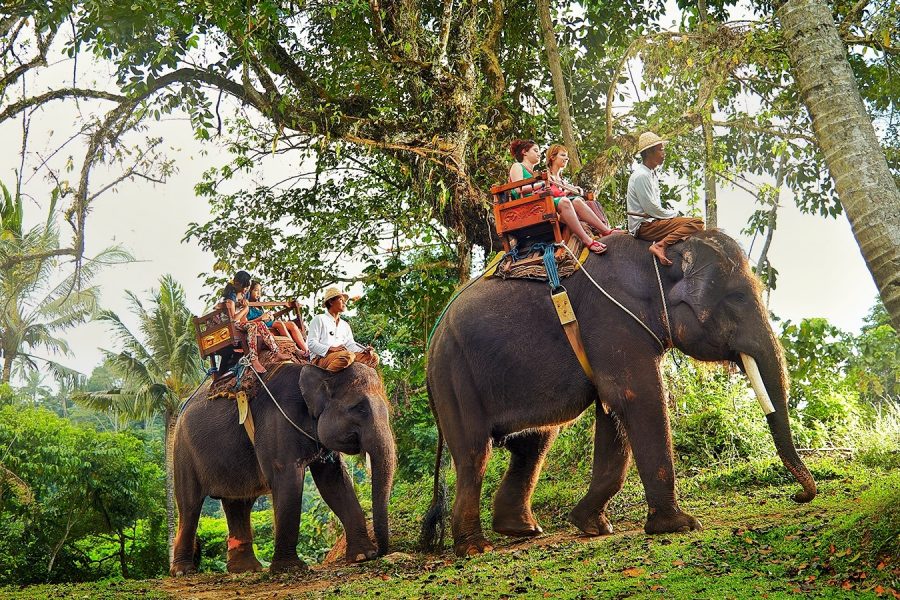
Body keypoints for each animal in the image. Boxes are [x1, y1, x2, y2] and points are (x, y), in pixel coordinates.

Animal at [170, 362, 396, 575]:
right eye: (360, 408)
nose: (381, 551)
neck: (318, 371)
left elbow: (334, 481)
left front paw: (363, 556)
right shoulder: (277, 424)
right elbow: (288, 479)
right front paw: (290, 568)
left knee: (238, 503)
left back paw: (246, 569)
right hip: (182, 451)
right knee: (190, 505)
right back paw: (183, 571)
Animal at [422, 230, 817, 557]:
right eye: (736, 297)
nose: (798, 495)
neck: (656, 256)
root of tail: (432, 341)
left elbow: (612, 411)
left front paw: (591, 525)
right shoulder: (612, 320)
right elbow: (636, 397)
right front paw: (680, 526)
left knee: (534, 443)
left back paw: (523, 530)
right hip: (454, 376)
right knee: (475, 454)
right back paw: (475, 548)